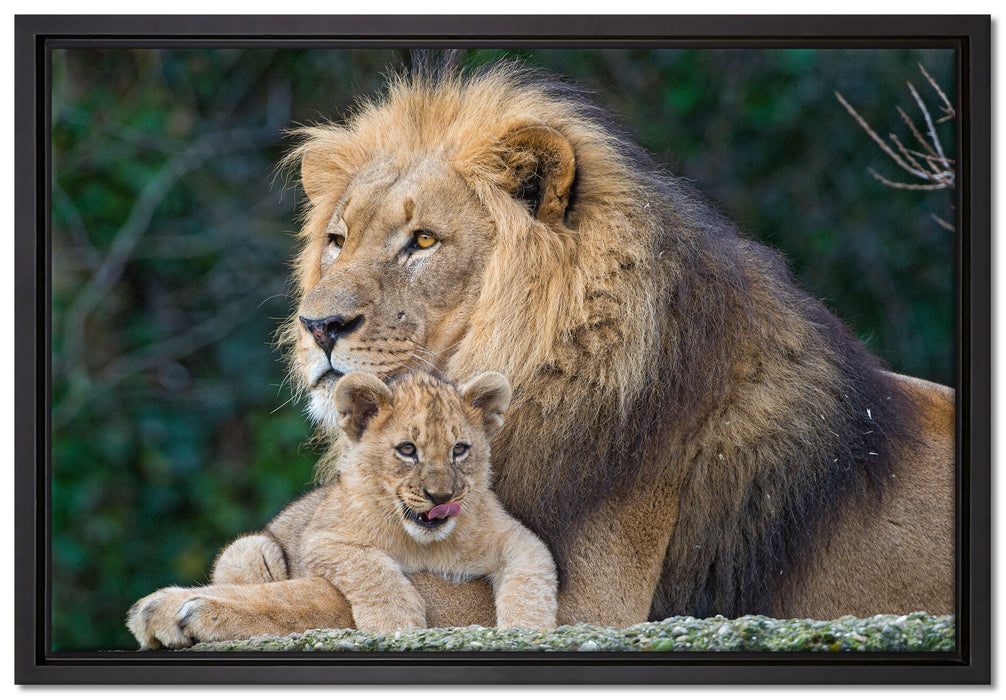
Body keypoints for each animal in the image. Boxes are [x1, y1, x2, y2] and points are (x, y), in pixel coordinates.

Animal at [128, 370, 557, 647]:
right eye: (407, 450)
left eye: (459, 449)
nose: (440, 497)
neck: (427, 543)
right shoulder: (322, 539)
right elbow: (372, 568)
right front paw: (395, 623)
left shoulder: (517, 538)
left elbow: (531, 580)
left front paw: (526, 631)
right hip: (250, 549)